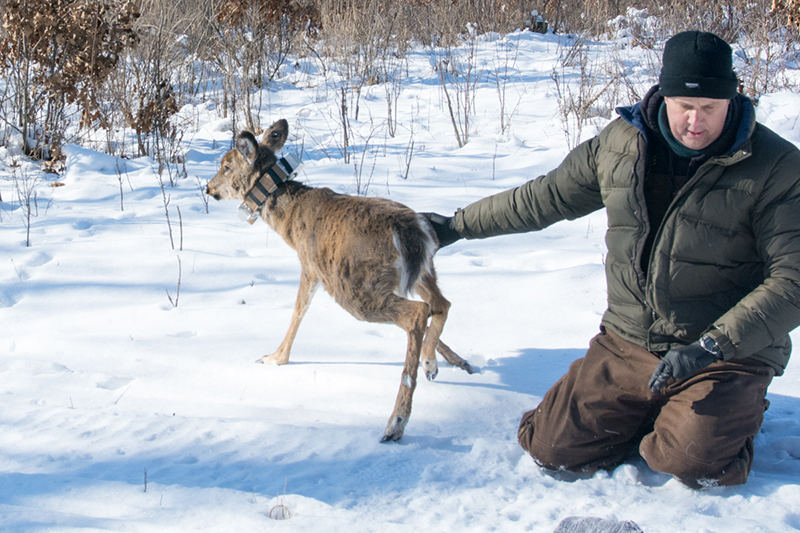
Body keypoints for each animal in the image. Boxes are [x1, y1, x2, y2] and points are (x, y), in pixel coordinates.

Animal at [203, 119, 476, 440]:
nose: (207, 187)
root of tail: (411, 229)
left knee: (418, 312)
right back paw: (431, 363)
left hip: (356, 287)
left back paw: (396, 422)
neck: (288, 222)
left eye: (226, 165)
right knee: (441, 304)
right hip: (422, 271)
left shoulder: (311, 266)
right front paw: (447, 360)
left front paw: (275, 357)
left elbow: (297, 311)